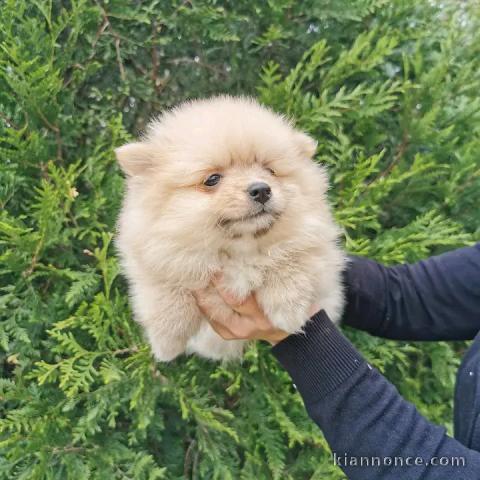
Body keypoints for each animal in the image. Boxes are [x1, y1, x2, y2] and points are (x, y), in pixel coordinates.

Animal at [114, 95, 344, 362]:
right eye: (212, 179)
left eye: (270, 170)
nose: (261, 189)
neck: (239, 249)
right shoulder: (155, 253)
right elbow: (166, 287)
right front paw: (166, 340)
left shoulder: (316, 245)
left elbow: (290, 259)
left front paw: (289, 309)